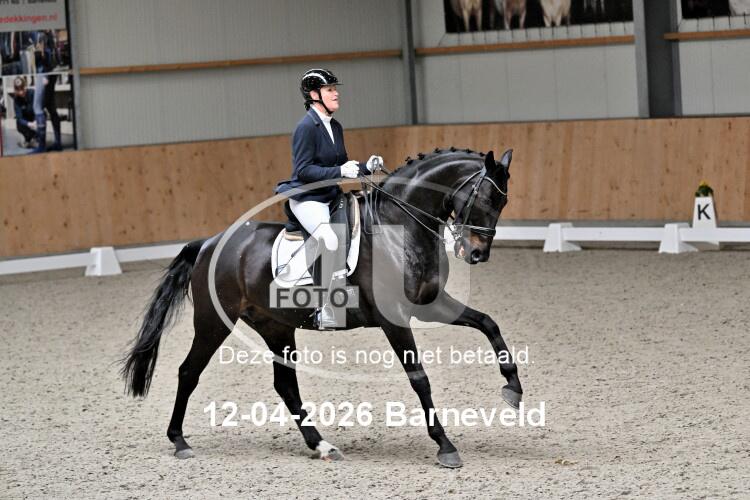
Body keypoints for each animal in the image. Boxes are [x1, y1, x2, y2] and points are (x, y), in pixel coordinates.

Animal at [121, 148, 523, 468]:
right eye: (486, 198)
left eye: (502, 203)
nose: (476, 254)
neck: (400, 229)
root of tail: (209, 243)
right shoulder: (394, 319)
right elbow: (419, 378)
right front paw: (445, 445)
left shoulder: (429, 305)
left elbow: (488, 323)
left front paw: (513, 387)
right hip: (213, 322)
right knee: (189, 372)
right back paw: (179, 441)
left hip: (275, 326)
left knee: (285, 385)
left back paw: (321, 444)